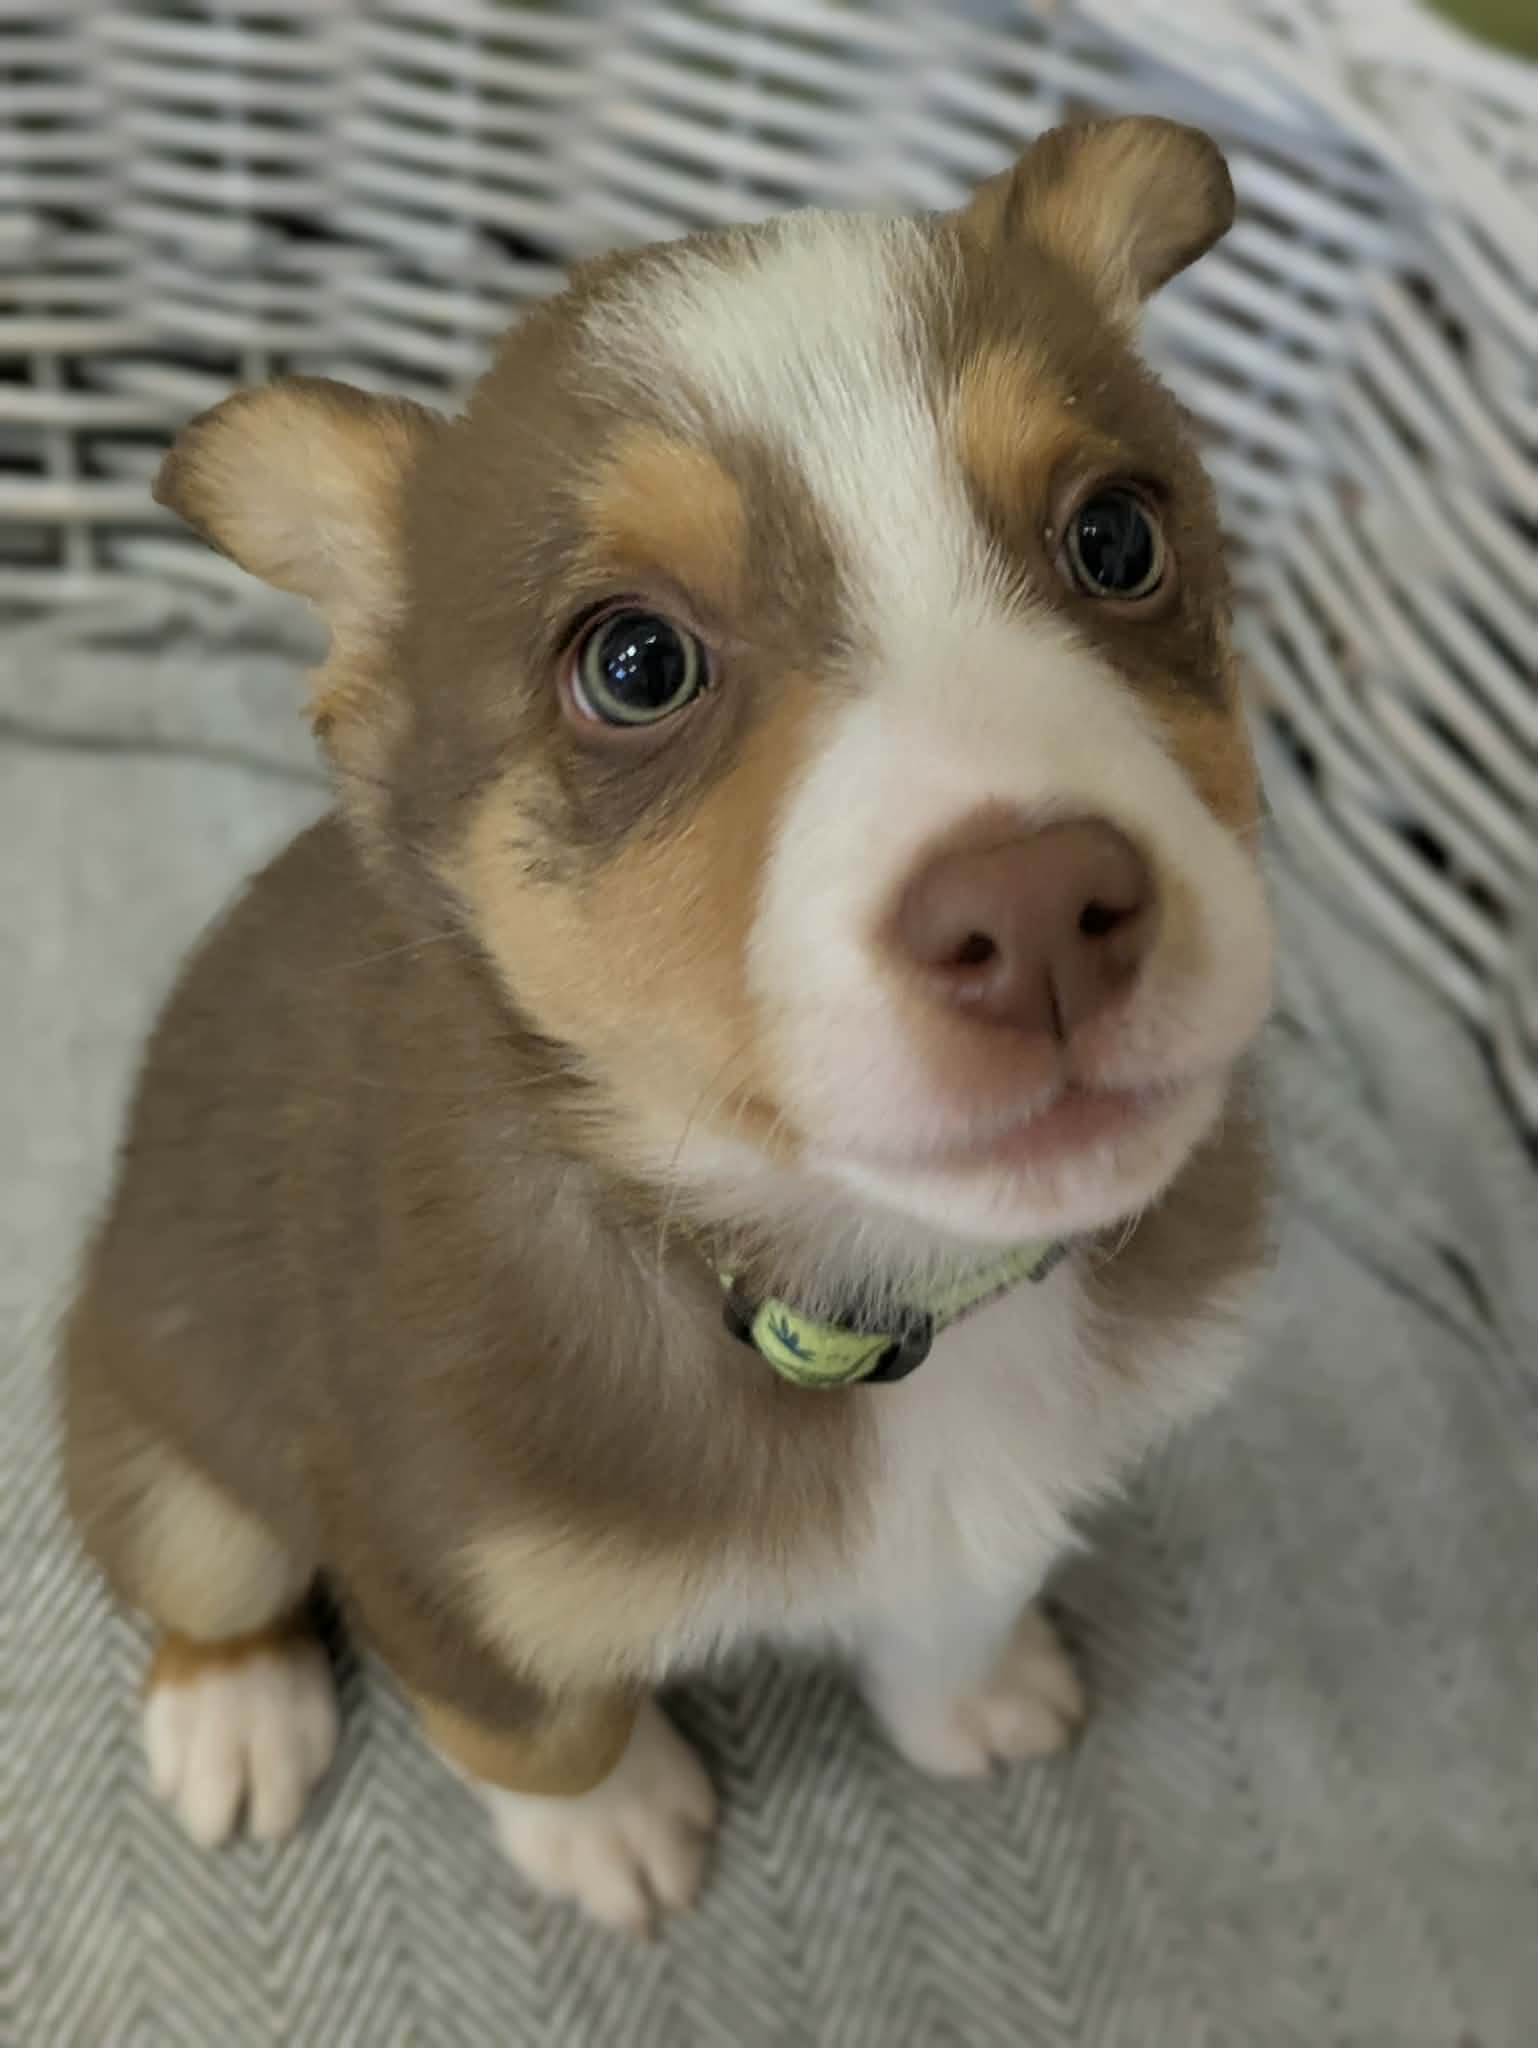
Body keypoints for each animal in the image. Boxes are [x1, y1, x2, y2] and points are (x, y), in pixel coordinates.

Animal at [62, 116, 1272, 1933]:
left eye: (1118, 541)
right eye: (633, 664)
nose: (1040, 912)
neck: (868, 1297)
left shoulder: (990, 1510)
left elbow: (959, 1595)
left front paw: (970, 1698)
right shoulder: (425, 1544)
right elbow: (533, 1723)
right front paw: (613, 1830)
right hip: (160, 1427)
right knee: (200, 1572)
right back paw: (237, 1713)